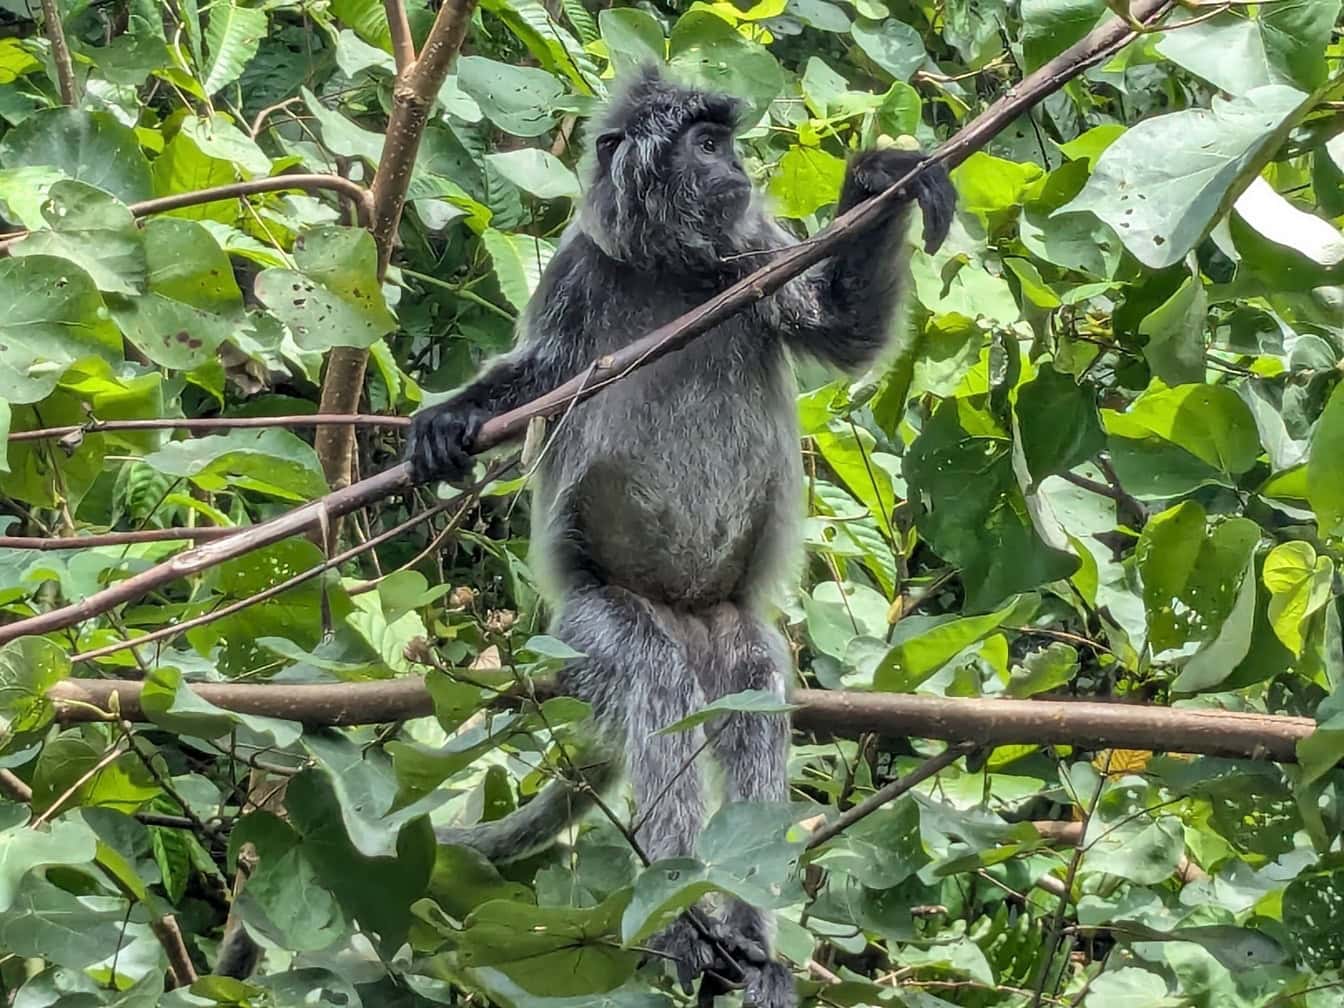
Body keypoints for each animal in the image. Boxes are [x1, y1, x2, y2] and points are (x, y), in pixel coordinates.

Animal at [408, 65, 956, 1008]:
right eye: (704, 145)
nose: (736, 166)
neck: (668, 270)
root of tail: (687, 614)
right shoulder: (576, 273)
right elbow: (533, 379)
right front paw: (449, 420)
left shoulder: (755, 251)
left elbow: (845, 334)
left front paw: (876, 182)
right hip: (593, 624)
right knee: (658, 688)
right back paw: (686, 924)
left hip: (727, 630)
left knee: (753, 700)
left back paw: (748, 941)